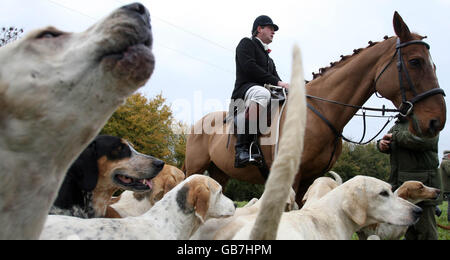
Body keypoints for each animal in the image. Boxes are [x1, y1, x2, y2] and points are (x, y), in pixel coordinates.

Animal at [185, 11, 444, 203]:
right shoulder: (292, 177)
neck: (321, 112)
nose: (437, 120)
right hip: (194, 169)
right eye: (415, 61)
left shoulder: (310, 179)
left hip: (220, 173)